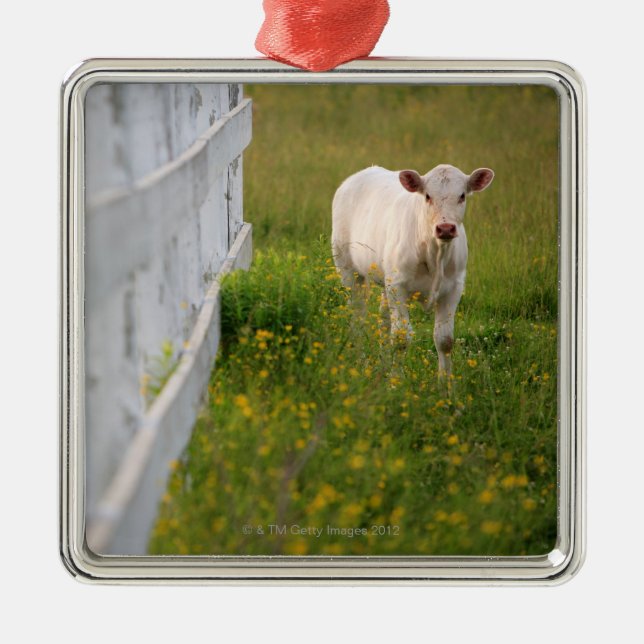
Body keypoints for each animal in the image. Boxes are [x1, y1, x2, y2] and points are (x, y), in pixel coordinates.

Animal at [331, 164, 494, 377]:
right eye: (427, 196)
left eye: (462, 195)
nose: (445, 228)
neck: (435, 254)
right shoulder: (398, 286)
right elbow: (401, 337)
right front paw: (396, 381)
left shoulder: (454, 287)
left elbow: (444, 340)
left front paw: (446, 384)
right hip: (348, 269)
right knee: (358, 316)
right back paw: (360, 363)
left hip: (385, 278)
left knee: (383, 319)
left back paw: (383, 365)